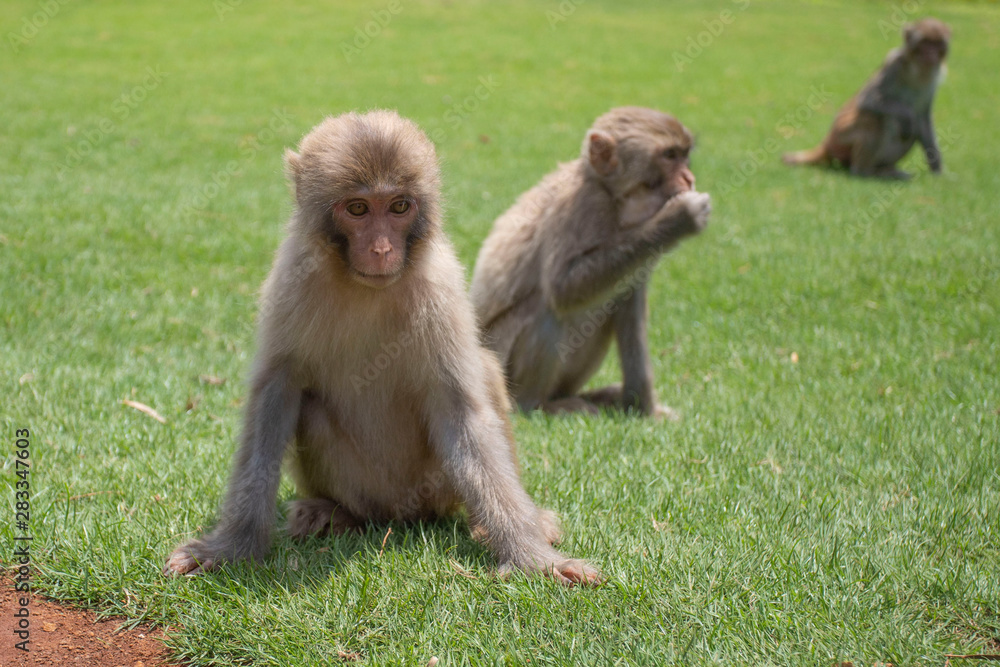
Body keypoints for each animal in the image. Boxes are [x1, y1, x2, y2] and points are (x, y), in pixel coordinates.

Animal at [164, 110, 601, 586]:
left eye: (399, 207)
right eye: (357, 208)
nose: (381, 248)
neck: (363, 288)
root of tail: (395, 517)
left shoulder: (441, 286)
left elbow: (460, 410)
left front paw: (531, 556)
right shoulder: (291, 280)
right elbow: (275, 395)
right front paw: (232, 546)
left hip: (437, 486)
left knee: (484, 372)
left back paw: (490, 523)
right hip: (361, 487)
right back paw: (332, 513)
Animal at [469, 107, 711, 419]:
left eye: (683, 154)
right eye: (669, 156)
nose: (689, 179)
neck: (611, 195)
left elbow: (630, 306)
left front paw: (645, 409)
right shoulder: (580, 205)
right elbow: (563, 288)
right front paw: (680, 216)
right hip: (500, 361)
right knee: (547, 312)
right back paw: (536, 404)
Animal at [783, 17, 951, 179]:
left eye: (937, 43)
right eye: (925, 42)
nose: (931, 53)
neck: (918, 71)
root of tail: (826, 143)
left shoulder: (933, 82)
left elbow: (923, 119)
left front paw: (938, 171)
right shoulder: (893, 66)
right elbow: (868, 101)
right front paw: (907, 115)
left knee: (914, 127)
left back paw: (885, 169)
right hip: (841, 140)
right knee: (873, 118)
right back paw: (865, 171)